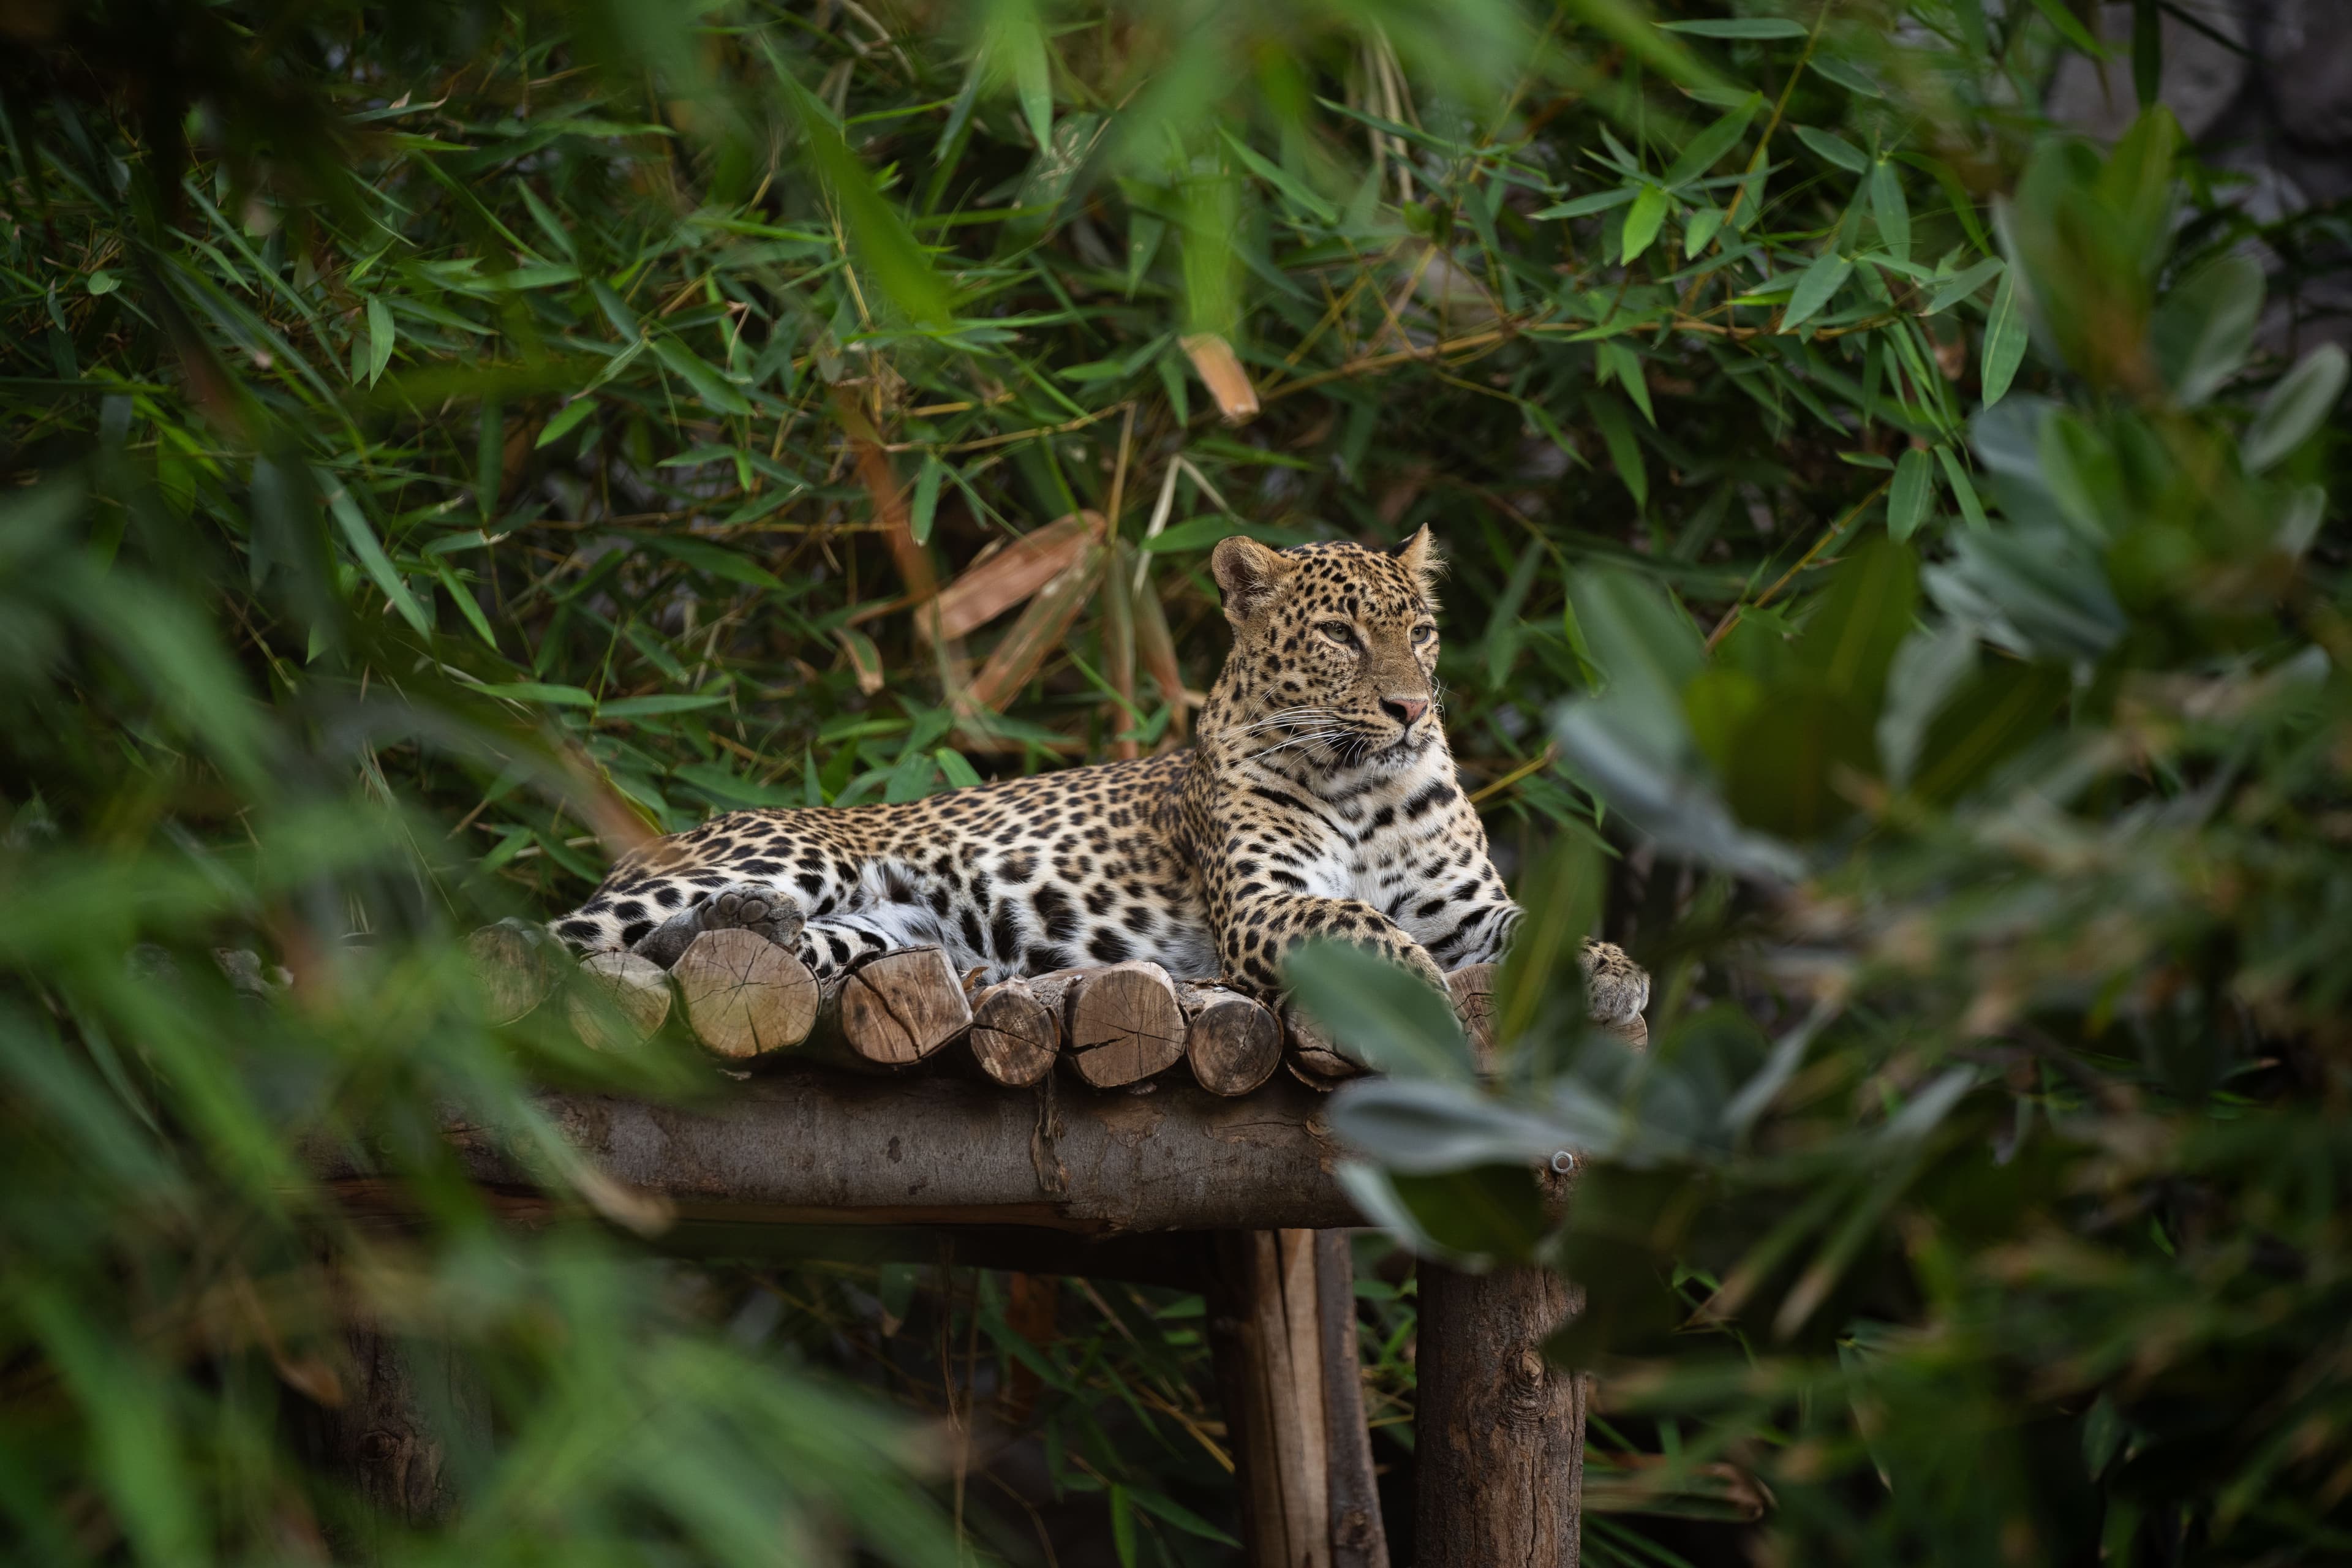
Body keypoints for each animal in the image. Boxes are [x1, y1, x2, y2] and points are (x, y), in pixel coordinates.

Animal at [551, 526, 1648, 1030]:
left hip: (879, 931)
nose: (1410, 708)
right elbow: (1360, 923)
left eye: (1418, 631)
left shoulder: (1465, 910)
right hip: (799, 854)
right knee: (561, 935)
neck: (1367, 789)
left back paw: (761, 933)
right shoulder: (1265, 906)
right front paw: (1419, 993)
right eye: (1340, 635)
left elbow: (1540, 927)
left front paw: (1613, 972)